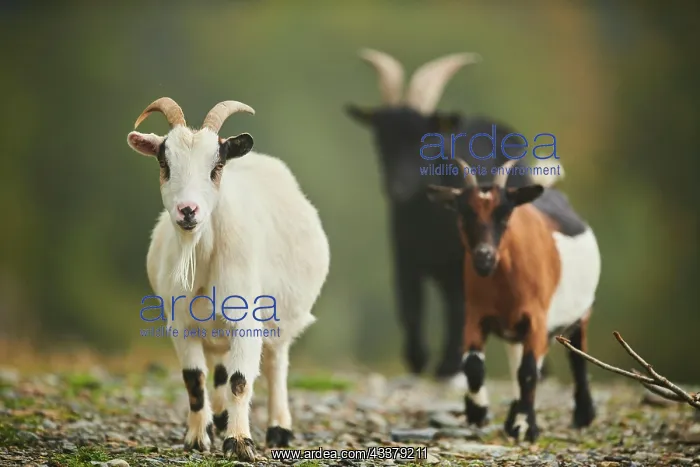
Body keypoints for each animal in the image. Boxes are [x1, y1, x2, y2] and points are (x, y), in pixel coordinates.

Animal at [126, 97, 330, 460]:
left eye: (215, 166)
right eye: (165, 163)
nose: (188, 210)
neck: (203, 256)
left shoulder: (246, 319)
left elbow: (240, 381)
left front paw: (239, 442)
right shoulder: (181, 324)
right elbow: (194, 380)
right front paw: (197, 438)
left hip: (282, 320)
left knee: (276, 364)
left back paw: (278, 429)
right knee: (219, 369)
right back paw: (217, 421)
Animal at [344, 49, 551, 383]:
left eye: (427, 141)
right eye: (379, 140)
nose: (396, 186)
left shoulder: (462, 261)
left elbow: (459, 308)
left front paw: (449, 366)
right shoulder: (406, 258)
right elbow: (409, 306)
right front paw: (417, 360)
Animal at [426, 158, 600, 442]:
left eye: (505, 215)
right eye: (464, 214)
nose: (484, 257)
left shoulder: (538, 318)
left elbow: (528, 371)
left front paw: (524, 426)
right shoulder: (476, 314)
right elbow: (473, 365)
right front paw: (477, 412)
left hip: (581, 312)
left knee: (576, 356)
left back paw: (583, 416)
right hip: (515, 330)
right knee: (517, 360)